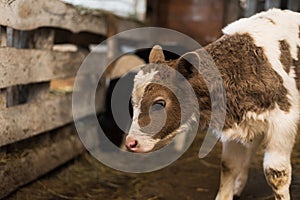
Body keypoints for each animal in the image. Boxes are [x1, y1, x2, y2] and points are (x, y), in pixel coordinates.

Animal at [125, 9, 300, 198]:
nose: (131, 142)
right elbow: (229, 165)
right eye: (133, 101)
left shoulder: (283, 123)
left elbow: (276, 173)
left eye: (159, 103)